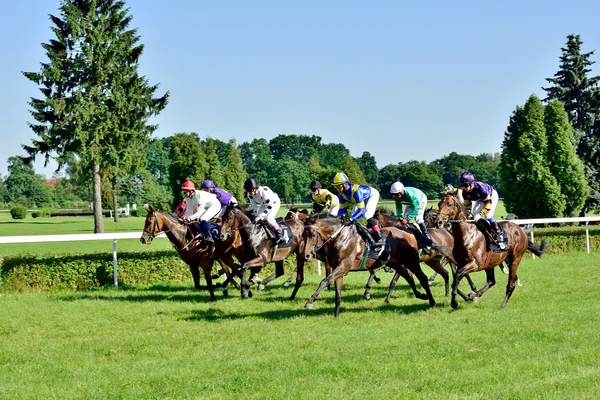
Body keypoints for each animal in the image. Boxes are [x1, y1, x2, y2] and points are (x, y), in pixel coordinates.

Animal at [302, 212, 434, 318]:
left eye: (312, 234)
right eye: (302, 235)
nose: (306, 256)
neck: (340, 237)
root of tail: (407, 231)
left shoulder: (343, 267)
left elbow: (324, 281)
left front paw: (310, 302)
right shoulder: (338, 269)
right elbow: (337, 294)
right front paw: (336, 316)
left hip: (411, 261)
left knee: (422, 278)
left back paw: (431, 301)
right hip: (395, 263)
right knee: (408, 276)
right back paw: (421, 295)